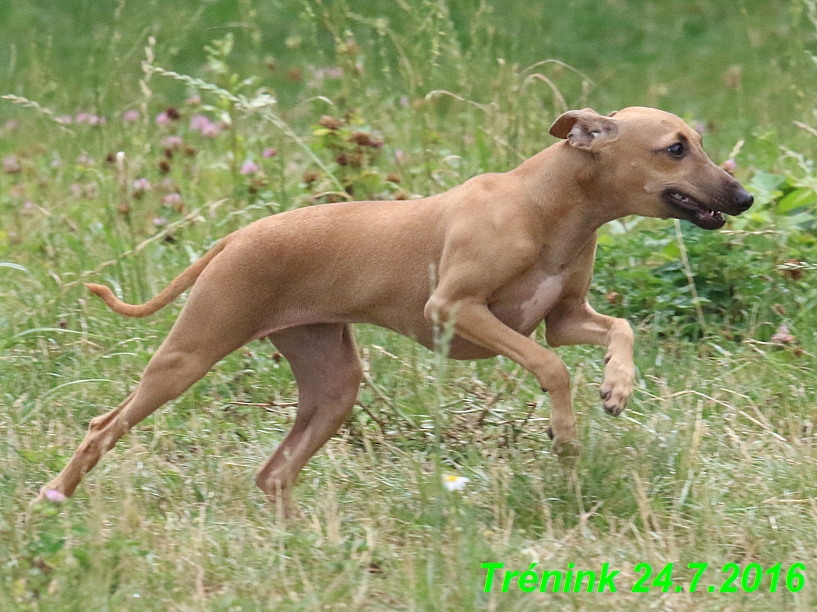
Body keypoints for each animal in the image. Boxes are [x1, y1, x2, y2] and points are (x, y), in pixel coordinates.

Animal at [36, 107, 752, 510]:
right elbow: (550, 367)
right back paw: (55, 499)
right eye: (675, 148)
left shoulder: (564, 317)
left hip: (333, 383)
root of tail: (235, 238)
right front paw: (566, 434)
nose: (743, 197)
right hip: (189, 355)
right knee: (103, 426)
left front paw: (617, 385)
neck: (546, 204)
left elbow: (617, 329)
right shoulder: (455, 310)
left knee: (274, 475)